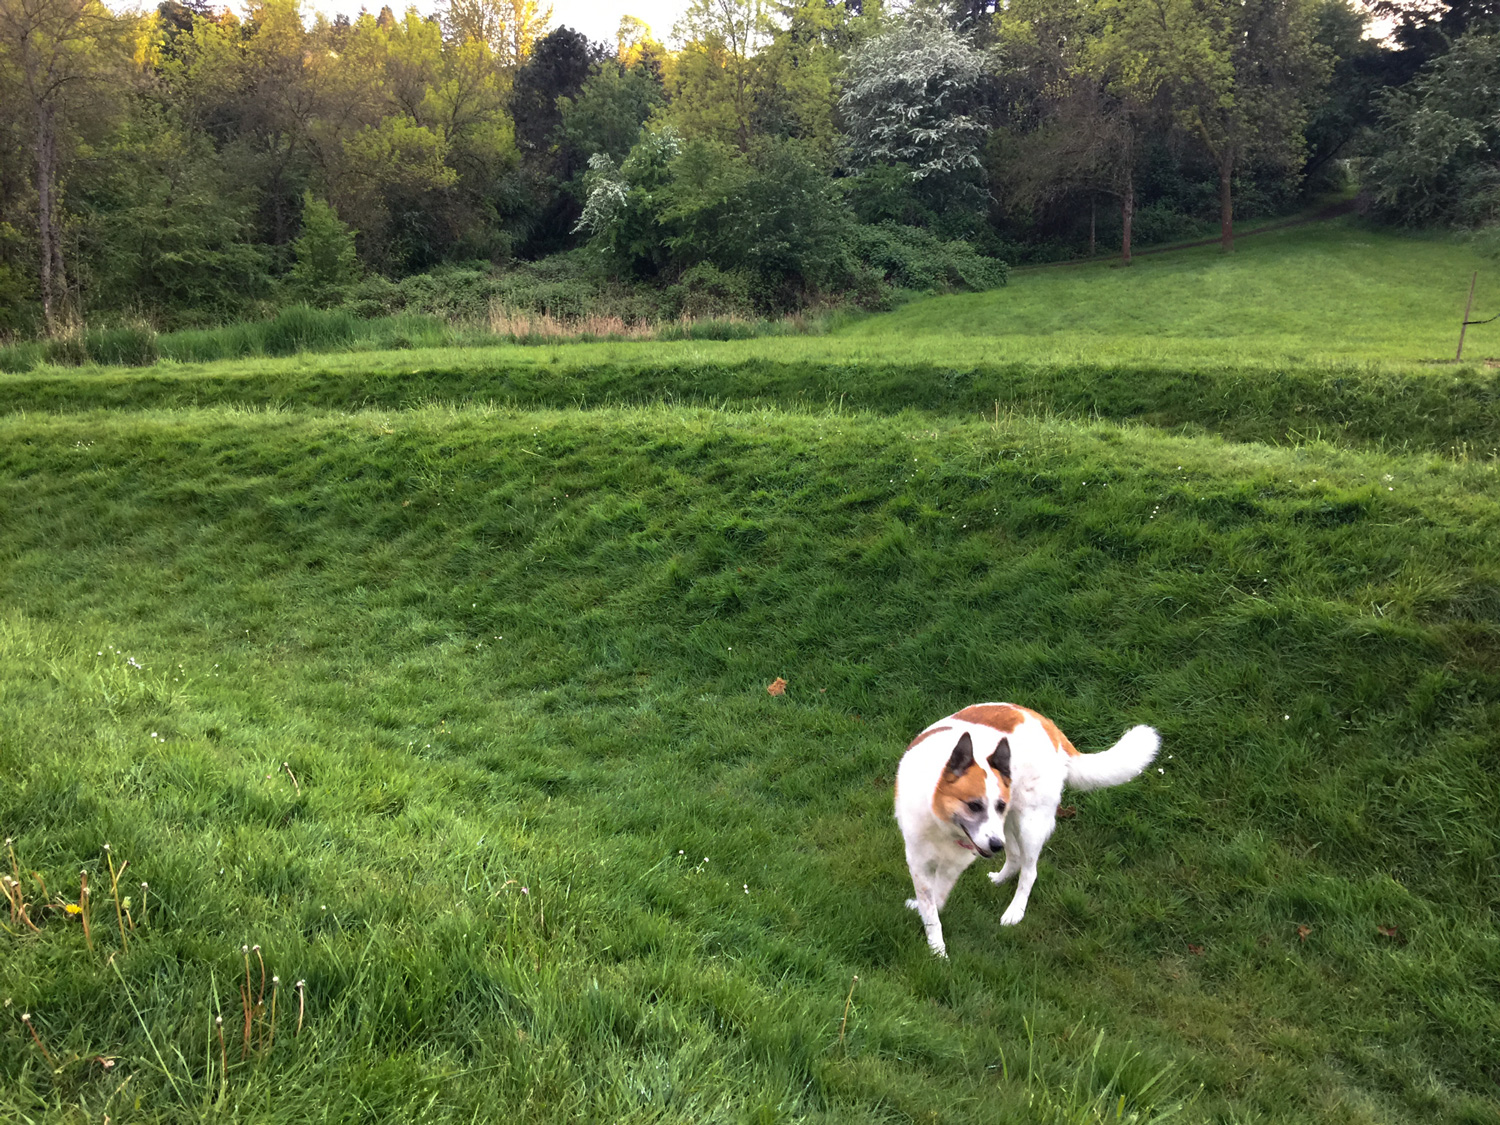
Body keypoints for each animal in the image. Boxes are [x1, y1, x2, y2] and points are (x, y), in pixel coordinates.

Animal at [895, 703, 1159, 957]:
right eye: (974, 805)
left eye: (998, 805)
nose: (994, 846)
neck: (942, 820)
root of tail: (1049, 726)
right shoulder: (918, 861)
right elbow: (930, 901)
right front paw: (932, 934)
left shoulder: (956, 862)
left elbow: (937, 898)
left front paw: (937, 949)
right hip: (1009, 824)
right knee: (1013, 856)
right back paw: (1000, 878)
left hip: (1028, 824)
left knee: (1029, 871)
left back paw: (1015, 911)